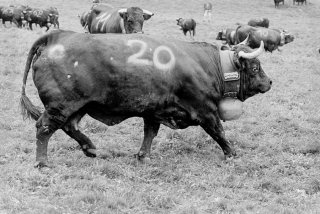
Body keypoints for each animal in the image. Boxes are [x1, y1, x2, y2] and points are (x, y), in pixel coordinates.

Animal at [19, 30, 270, 167]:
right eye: (255, 67)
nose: (269, 82)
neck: (208, 65)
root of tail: (57, 36)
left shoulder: (154, 112)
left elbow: (150, 133)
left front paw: (143, 156)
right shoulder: (205, 110)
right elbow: (219, 132)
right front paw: (232, 153)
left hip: (78, 106)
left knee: (70, 127)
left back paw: (90, 148)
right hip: (60, 106)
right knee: (43, 128)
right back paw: (42, 162)